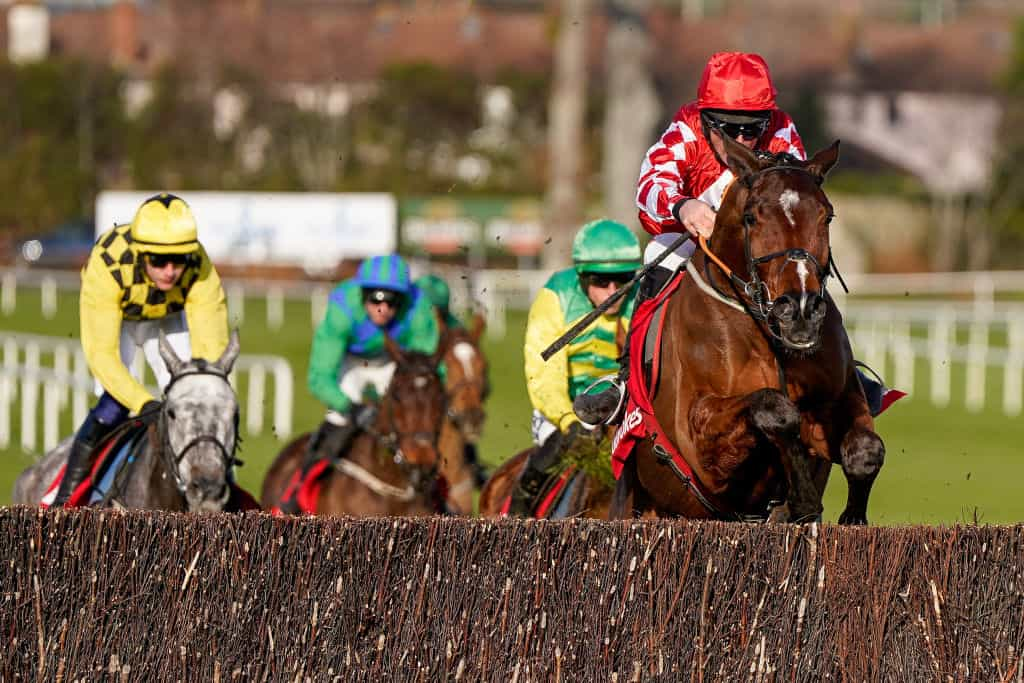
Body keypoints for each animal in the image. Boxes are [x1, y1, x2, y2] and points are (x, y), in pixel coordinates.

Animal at [610, 136, 884, 528]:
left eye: (827, 215)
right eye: (752, 216)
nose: (800, 310)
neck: (769, 338)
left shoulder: (839, 397)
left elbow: (866, 449)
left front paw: (852, 515)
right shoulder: (700, 442)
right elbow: (774, 407)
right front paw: (803, 499)